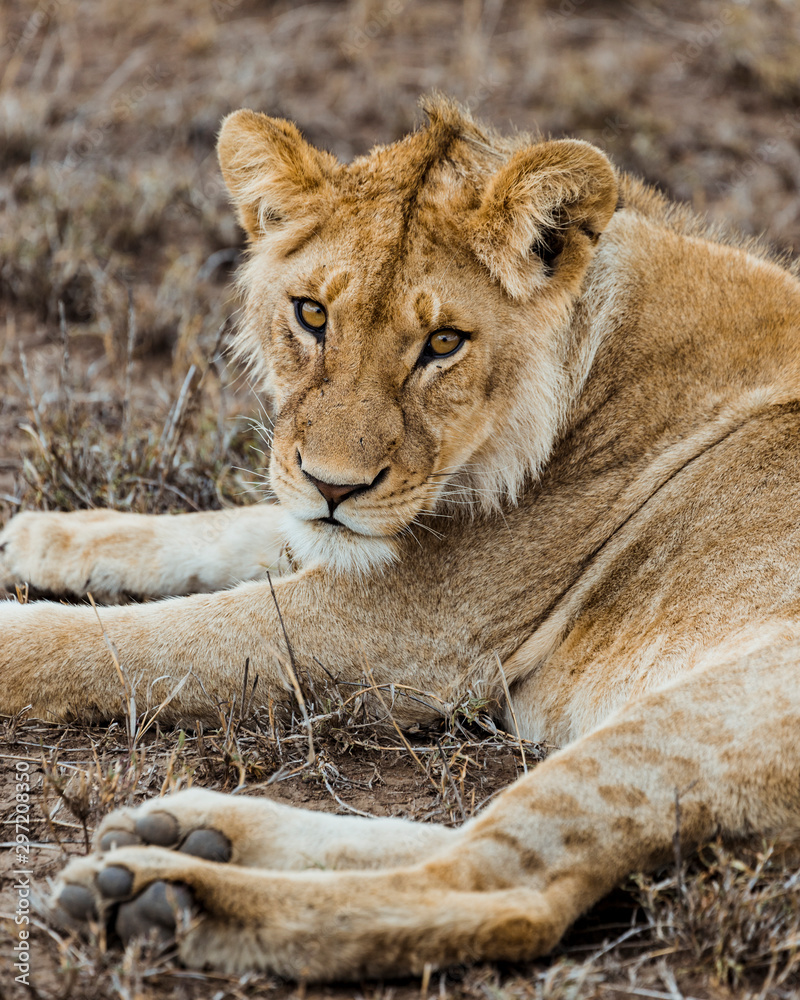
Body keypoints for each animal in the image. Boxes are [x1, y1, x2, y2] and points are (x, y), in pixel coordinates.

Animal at [1, 97, 800, 981]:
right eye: (312, 315)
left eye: (443, 342)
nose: (335, 487)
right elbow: (228, 529)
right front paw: (47, 532)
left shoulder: (414, 637)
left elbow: (123, 641)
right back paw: (190, 830)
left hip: (710, 712)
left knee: (502, 890)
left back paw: (162, 897)